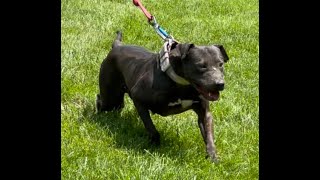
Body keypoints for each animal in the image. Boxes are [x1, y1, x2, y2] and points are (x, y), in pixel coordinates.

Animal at [96, 30, 229, 162]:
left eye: (221, 64)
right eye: (201, 65)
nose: (219, 84)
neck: (181, 84)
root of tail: (117, 46)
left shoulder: (204, 112)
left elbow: (209, 134)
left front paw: (212, 156)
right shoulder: (138, 98)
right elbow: (151, 127)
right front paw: (154, 144)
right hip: (110, 97)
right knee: (101, 99)